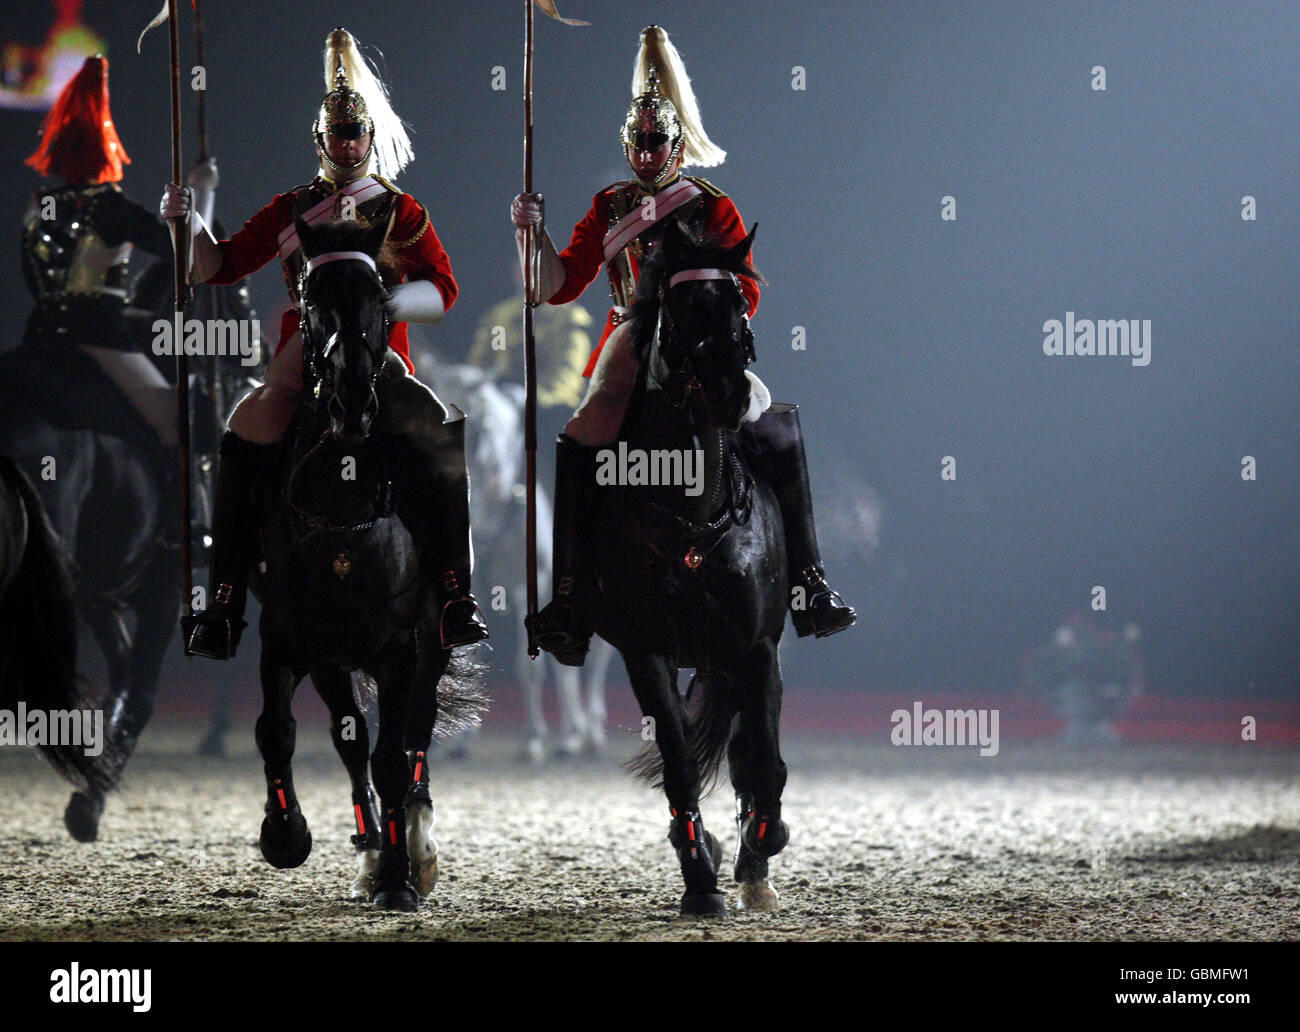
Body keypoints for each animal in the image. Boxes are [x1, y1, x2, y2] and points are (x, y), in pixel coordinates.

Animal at [248, 215, 483, 909]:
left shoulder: (401, 649)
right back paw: (373, 845)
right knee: (349, 736)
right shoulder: (287, 638)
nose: (351, 397)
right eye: (312, 300)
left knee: (414, 736)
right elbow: (278, 730)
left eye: (381, 298)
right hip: (332, 659)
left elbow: (393, 754)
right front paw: (286, 833)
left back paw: (414, 845)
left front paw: (402, 879)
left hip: (433, 644)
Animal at [592, 220, 790, 915]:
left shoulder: (756, 648)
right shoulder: (645, 649)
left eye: (738, 303)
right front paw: (701, 876)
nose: (731, 392)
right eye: (679, 308)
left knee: (747, 750)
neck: (694, 512)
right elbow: (679, 759)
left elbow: (761, 759)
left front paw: (761, 848)